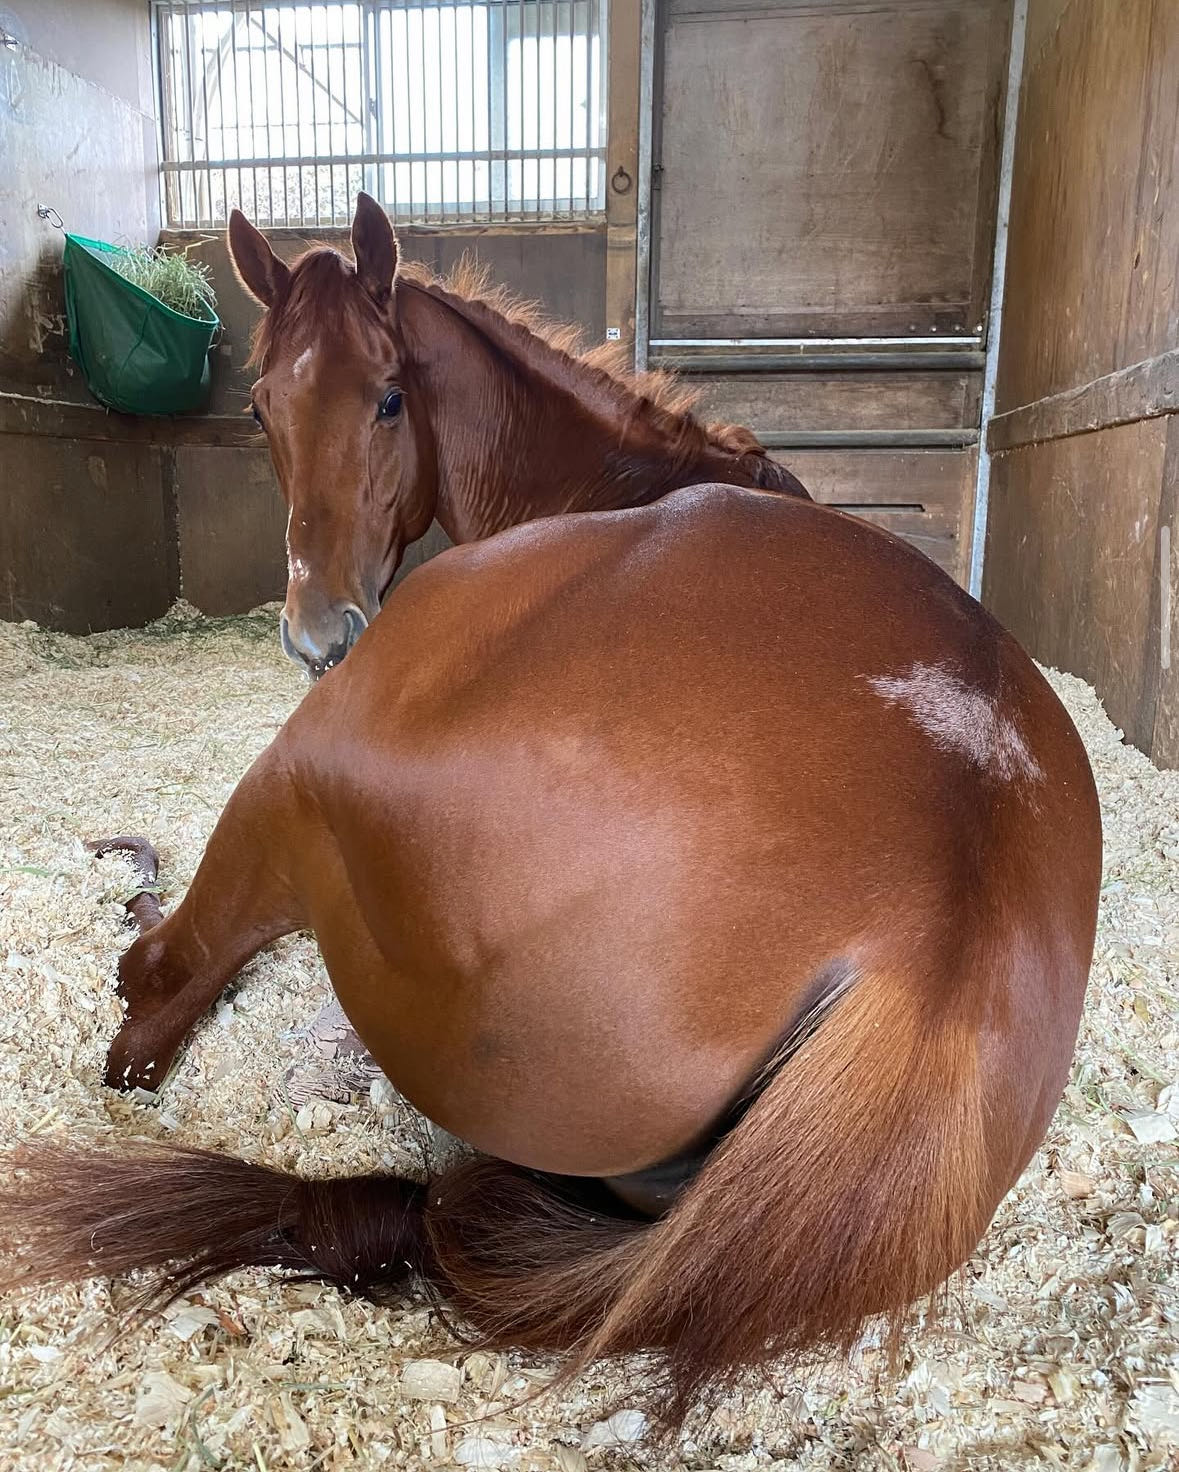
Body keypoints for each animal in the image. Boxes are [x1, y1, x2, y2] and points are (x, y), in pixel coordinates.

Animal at [0, 195, 1103, 1432]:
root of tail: (936, 951)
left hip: (300, 772)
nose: (319, 632)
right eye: (258, 406)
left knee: (154, 996)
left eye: (389, 394)